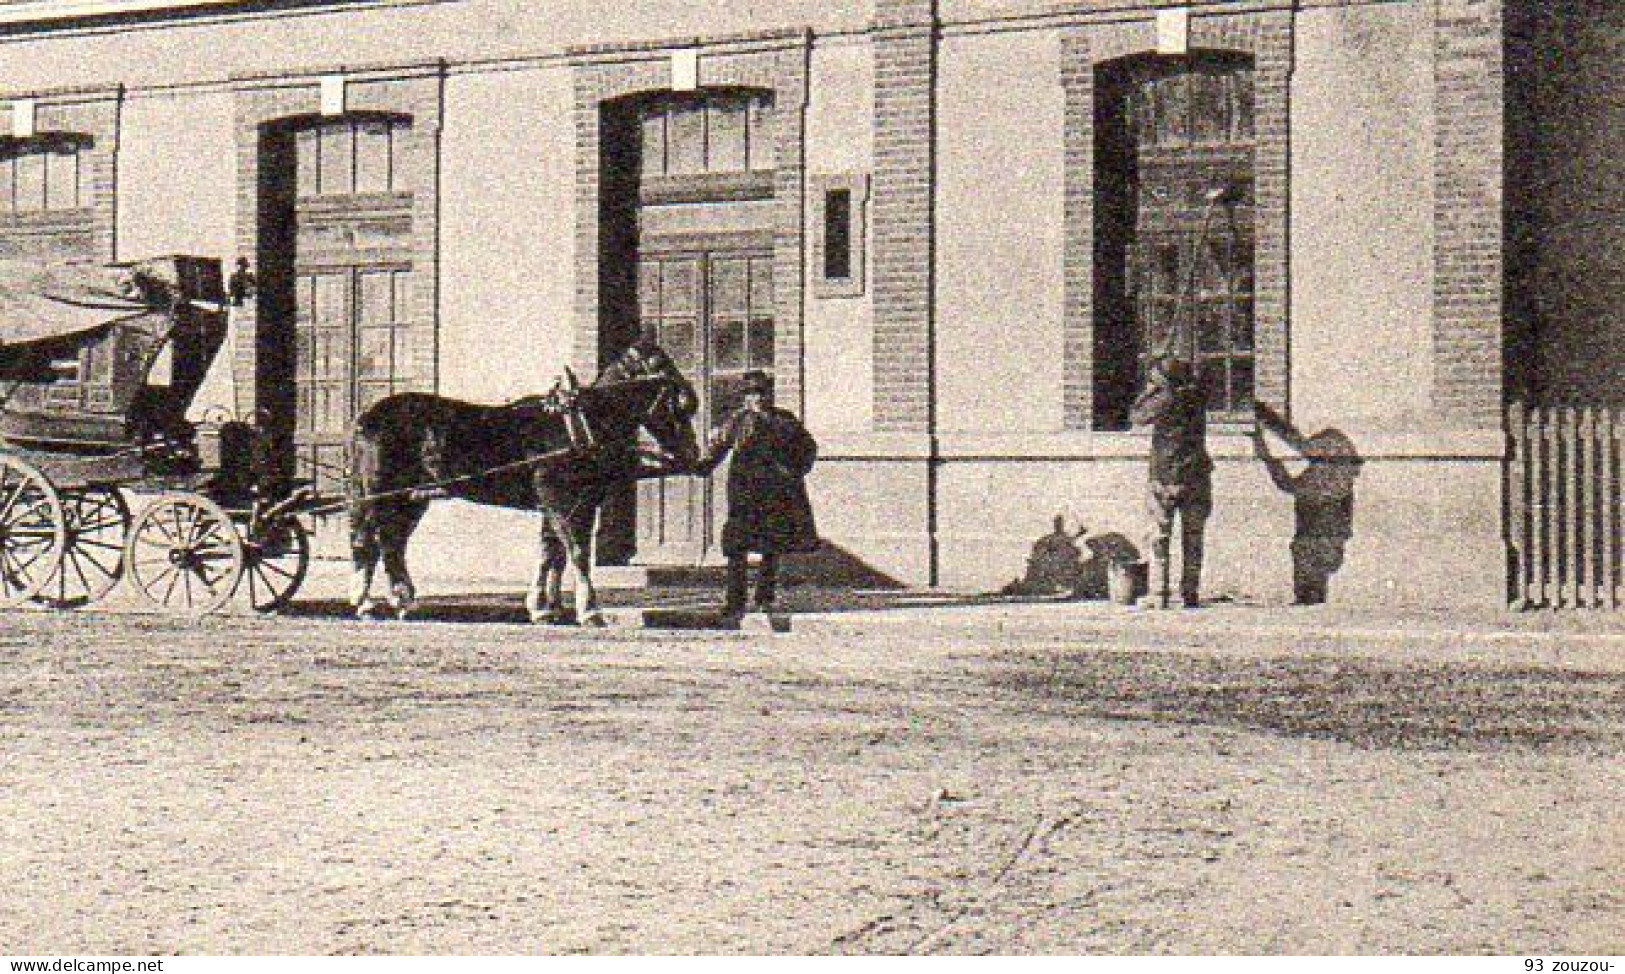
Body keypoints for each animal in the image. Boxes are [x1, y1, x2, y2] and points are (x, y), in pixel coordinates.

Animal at [346, 344, 695, 624]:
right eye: (661, 366)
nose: (690, 452)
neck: (578, 425)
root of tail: (365, 418)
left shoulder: (566, 502)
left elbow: (551, 553)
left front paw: (545, 608)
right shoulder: (563, 499)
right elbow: (577, 551)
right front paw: (589, 610)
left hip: (411, 499)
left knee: (392, 544)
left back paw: (402, 601)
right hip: (379, 495)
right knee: (368, 541)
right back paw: (366, 604)